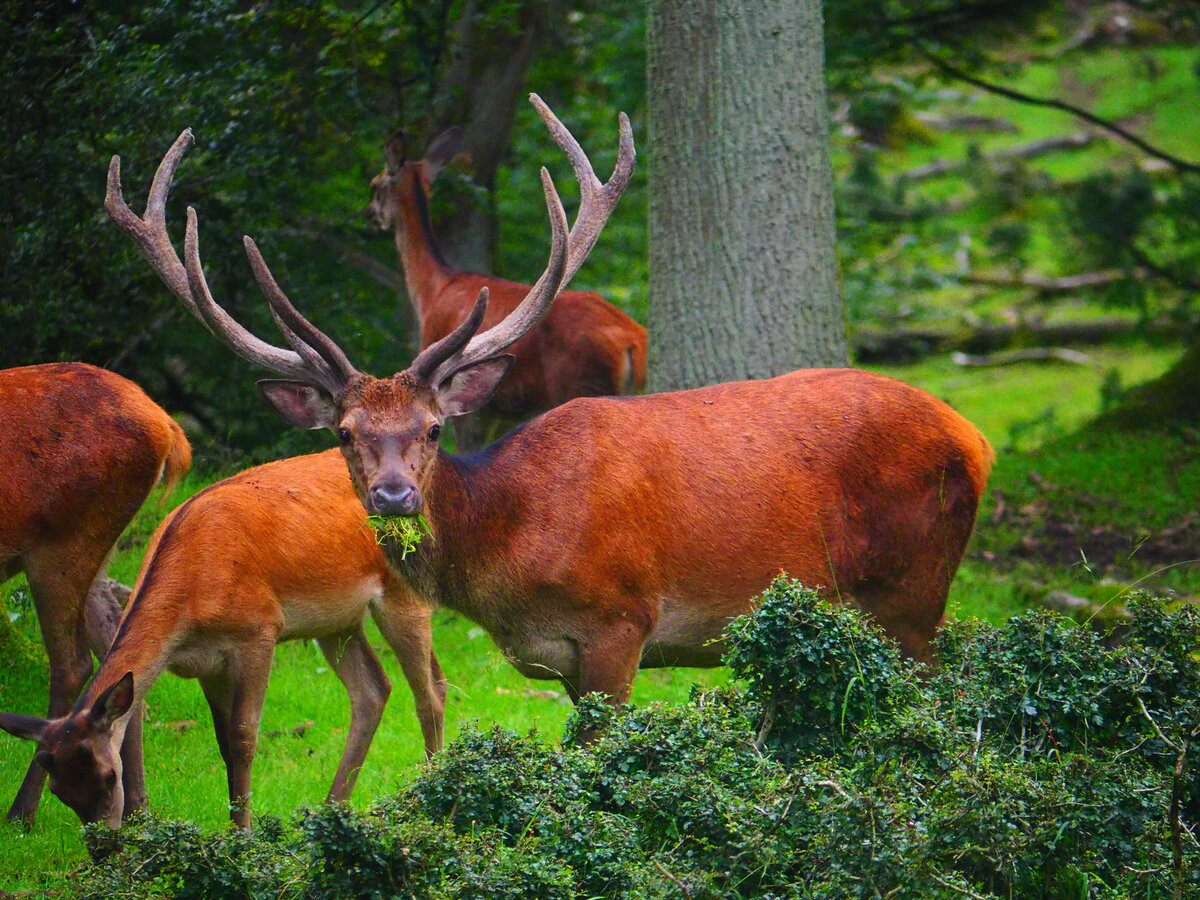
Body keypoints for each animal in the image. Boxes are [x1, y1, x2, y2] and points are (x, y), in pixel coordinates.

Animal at [0, 362, 189, 830]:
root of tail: (168, 428)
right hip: (97, 547)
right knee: (115, 639)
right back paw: (137, 803)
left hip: (61, 544)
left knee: (73, 663)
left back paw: (21, 812)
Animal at [0, 451, 446, 830]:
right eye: (59, 789)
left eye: (110, 776)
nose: (103, 849)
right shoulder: (205, 664)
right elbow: (222, 743)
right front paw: (233, 827)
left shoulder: (259, 631)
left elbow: (244, 737)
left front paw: (244, 834)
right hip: (336, 623)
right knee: (374, 688)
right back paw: (331, 807)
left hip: (403, 589)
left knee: (431, 692)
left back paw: (430, 792)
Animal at [364, 123, 648, 448]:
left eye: (375, 186)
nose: (368, 215)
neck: (432, 290)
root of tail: (633, 341)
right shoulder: (503, 413)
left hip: (580, 383)